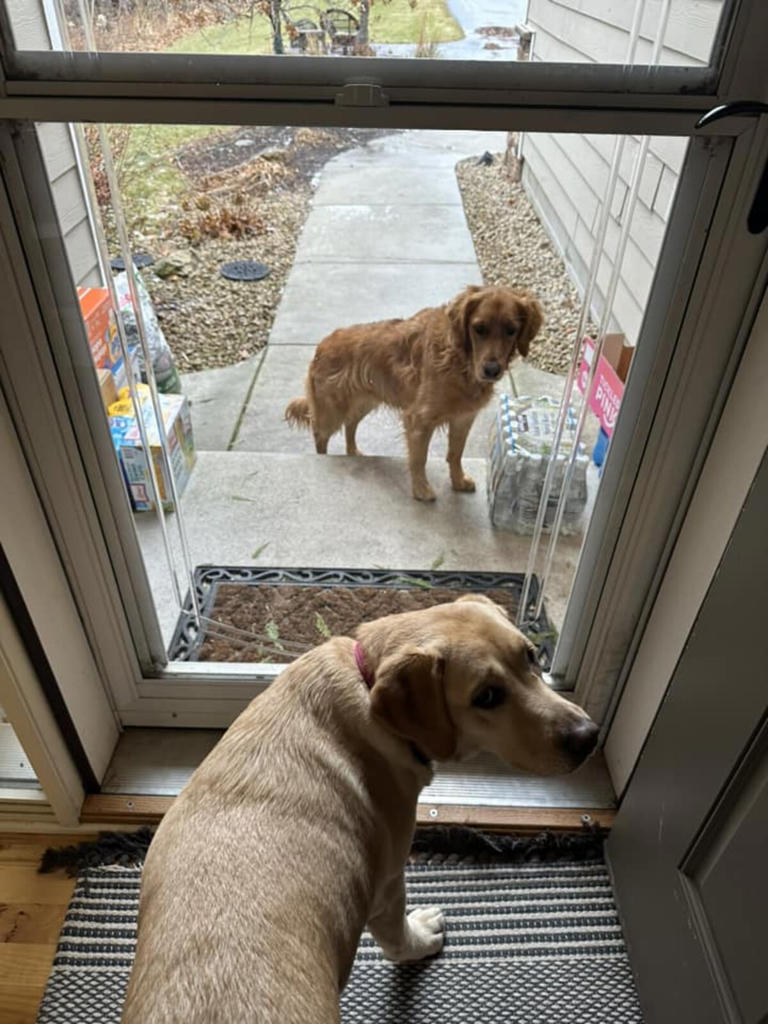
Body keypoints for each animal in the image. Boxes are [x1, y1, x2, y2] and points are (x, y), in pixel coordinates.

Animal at [123, 593, 598, 1024]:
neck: (365, 679)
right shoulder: (387, 883)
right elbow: (398, 938)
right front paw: (421, 937)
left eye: (532, 656)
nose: (588, 736)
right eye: (487, 696)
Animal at [286, 284, 544, 499]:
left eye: (511, 330)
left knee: (350, 425)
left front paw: (458, 481)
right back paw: (324, 458)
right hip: (332, 411)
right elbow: (419, 458)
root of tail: (322, 345)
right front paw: (421, 490)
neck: (460, 361)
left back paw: (353, 452)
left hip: (366, 401)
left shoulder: (463, 418)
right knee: (320, 435)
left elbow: (455, 453)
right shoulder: (419, 419)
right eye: (479, 328)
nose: (492, 370)